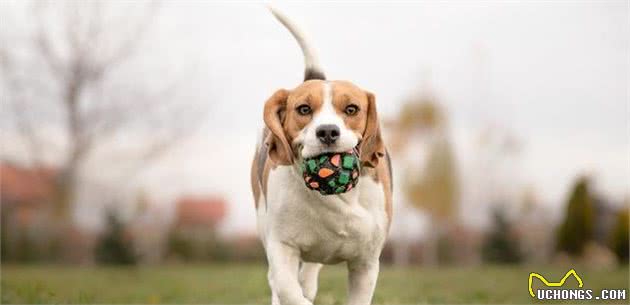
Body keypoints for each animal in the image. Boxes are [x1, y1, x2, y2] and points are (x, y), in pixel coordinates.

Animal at [251, 6, 390, 304]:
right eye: (304, 109)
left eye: (351, 109)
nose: (327, 131)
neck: (334, 199)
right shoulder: (281, 246)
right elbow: (287, 289)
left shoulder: (366, 262)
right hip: (263, 220)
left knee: (310, 270)